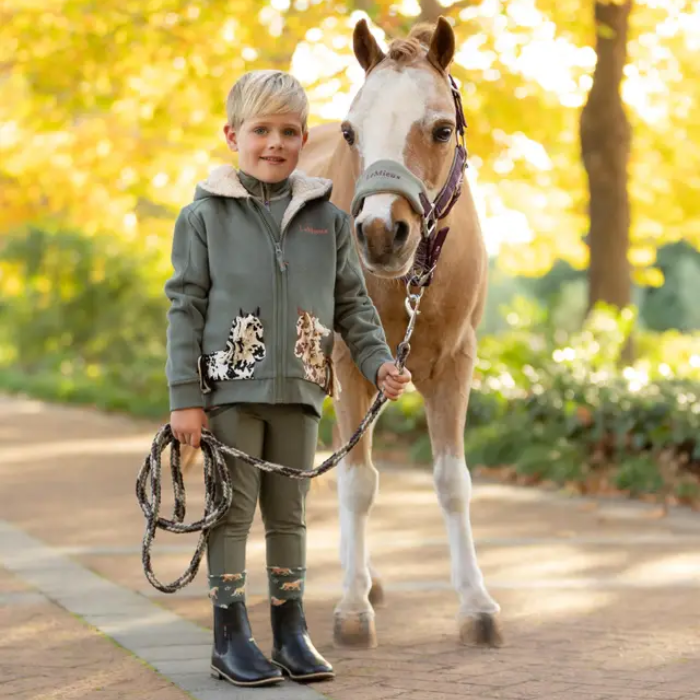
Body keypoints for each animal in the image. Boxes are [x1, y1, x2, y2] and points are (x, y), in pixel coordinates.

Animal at [298, 17, 502, 648]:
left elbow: (452, 481)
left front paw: (476, 605)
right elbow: (357, 484)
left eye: (441, 129)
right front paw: (350, 610)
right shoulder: (345, 362)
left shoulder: (454, 365)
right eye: (351, 132)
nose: (379, 232)